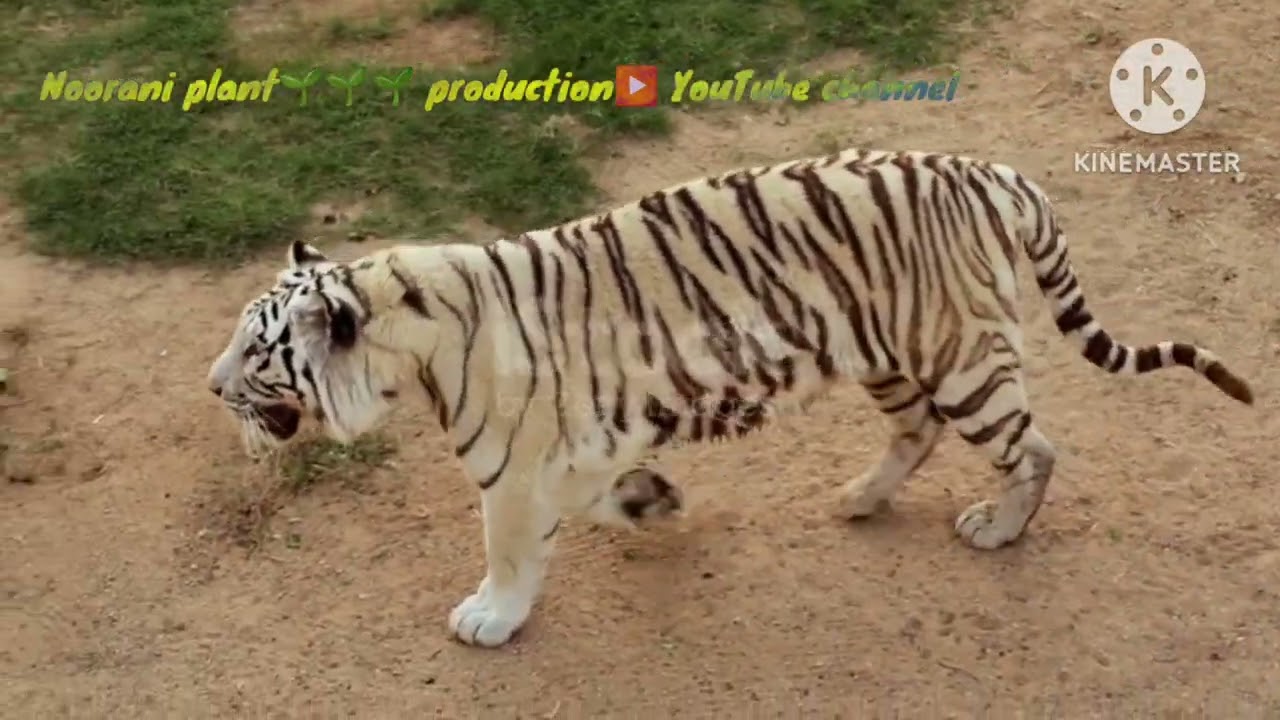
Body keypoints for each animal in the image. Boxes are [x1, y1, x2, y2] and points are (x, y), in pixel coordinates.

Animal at [206, 148, 1254, 648]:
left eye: (258, 351)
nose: (211, 386)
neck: (405, 334)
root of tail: (997, 175)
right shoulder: (576, 445)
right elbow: (605, 497)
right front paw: (655, 501)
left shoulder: (510, 469)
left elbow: (508, 554)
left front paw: (489, 621)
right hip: (884, 350)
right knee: (914, 431)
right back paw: (860, 498)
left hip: (962, 361)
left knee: (1032, 448)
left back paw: (998, 528)